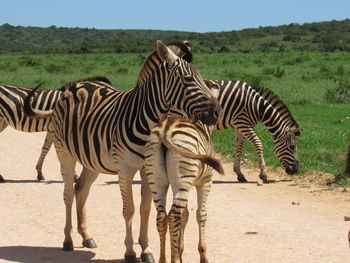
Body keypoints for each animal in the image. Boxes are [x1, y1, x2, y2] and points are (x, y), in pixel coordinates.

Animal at [145, 115, 224, 263]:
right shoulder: (206, 181)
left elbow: (185, 215)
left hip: (158, 180)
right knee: (173, 216)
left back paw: (163, 259)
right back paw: (174, 260)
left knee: (162, 217)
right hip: (183, 178)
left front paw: (179, 252)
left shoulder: (183, 187)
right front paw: (203, 257)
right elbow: (201, 214)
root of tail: (165, 129)